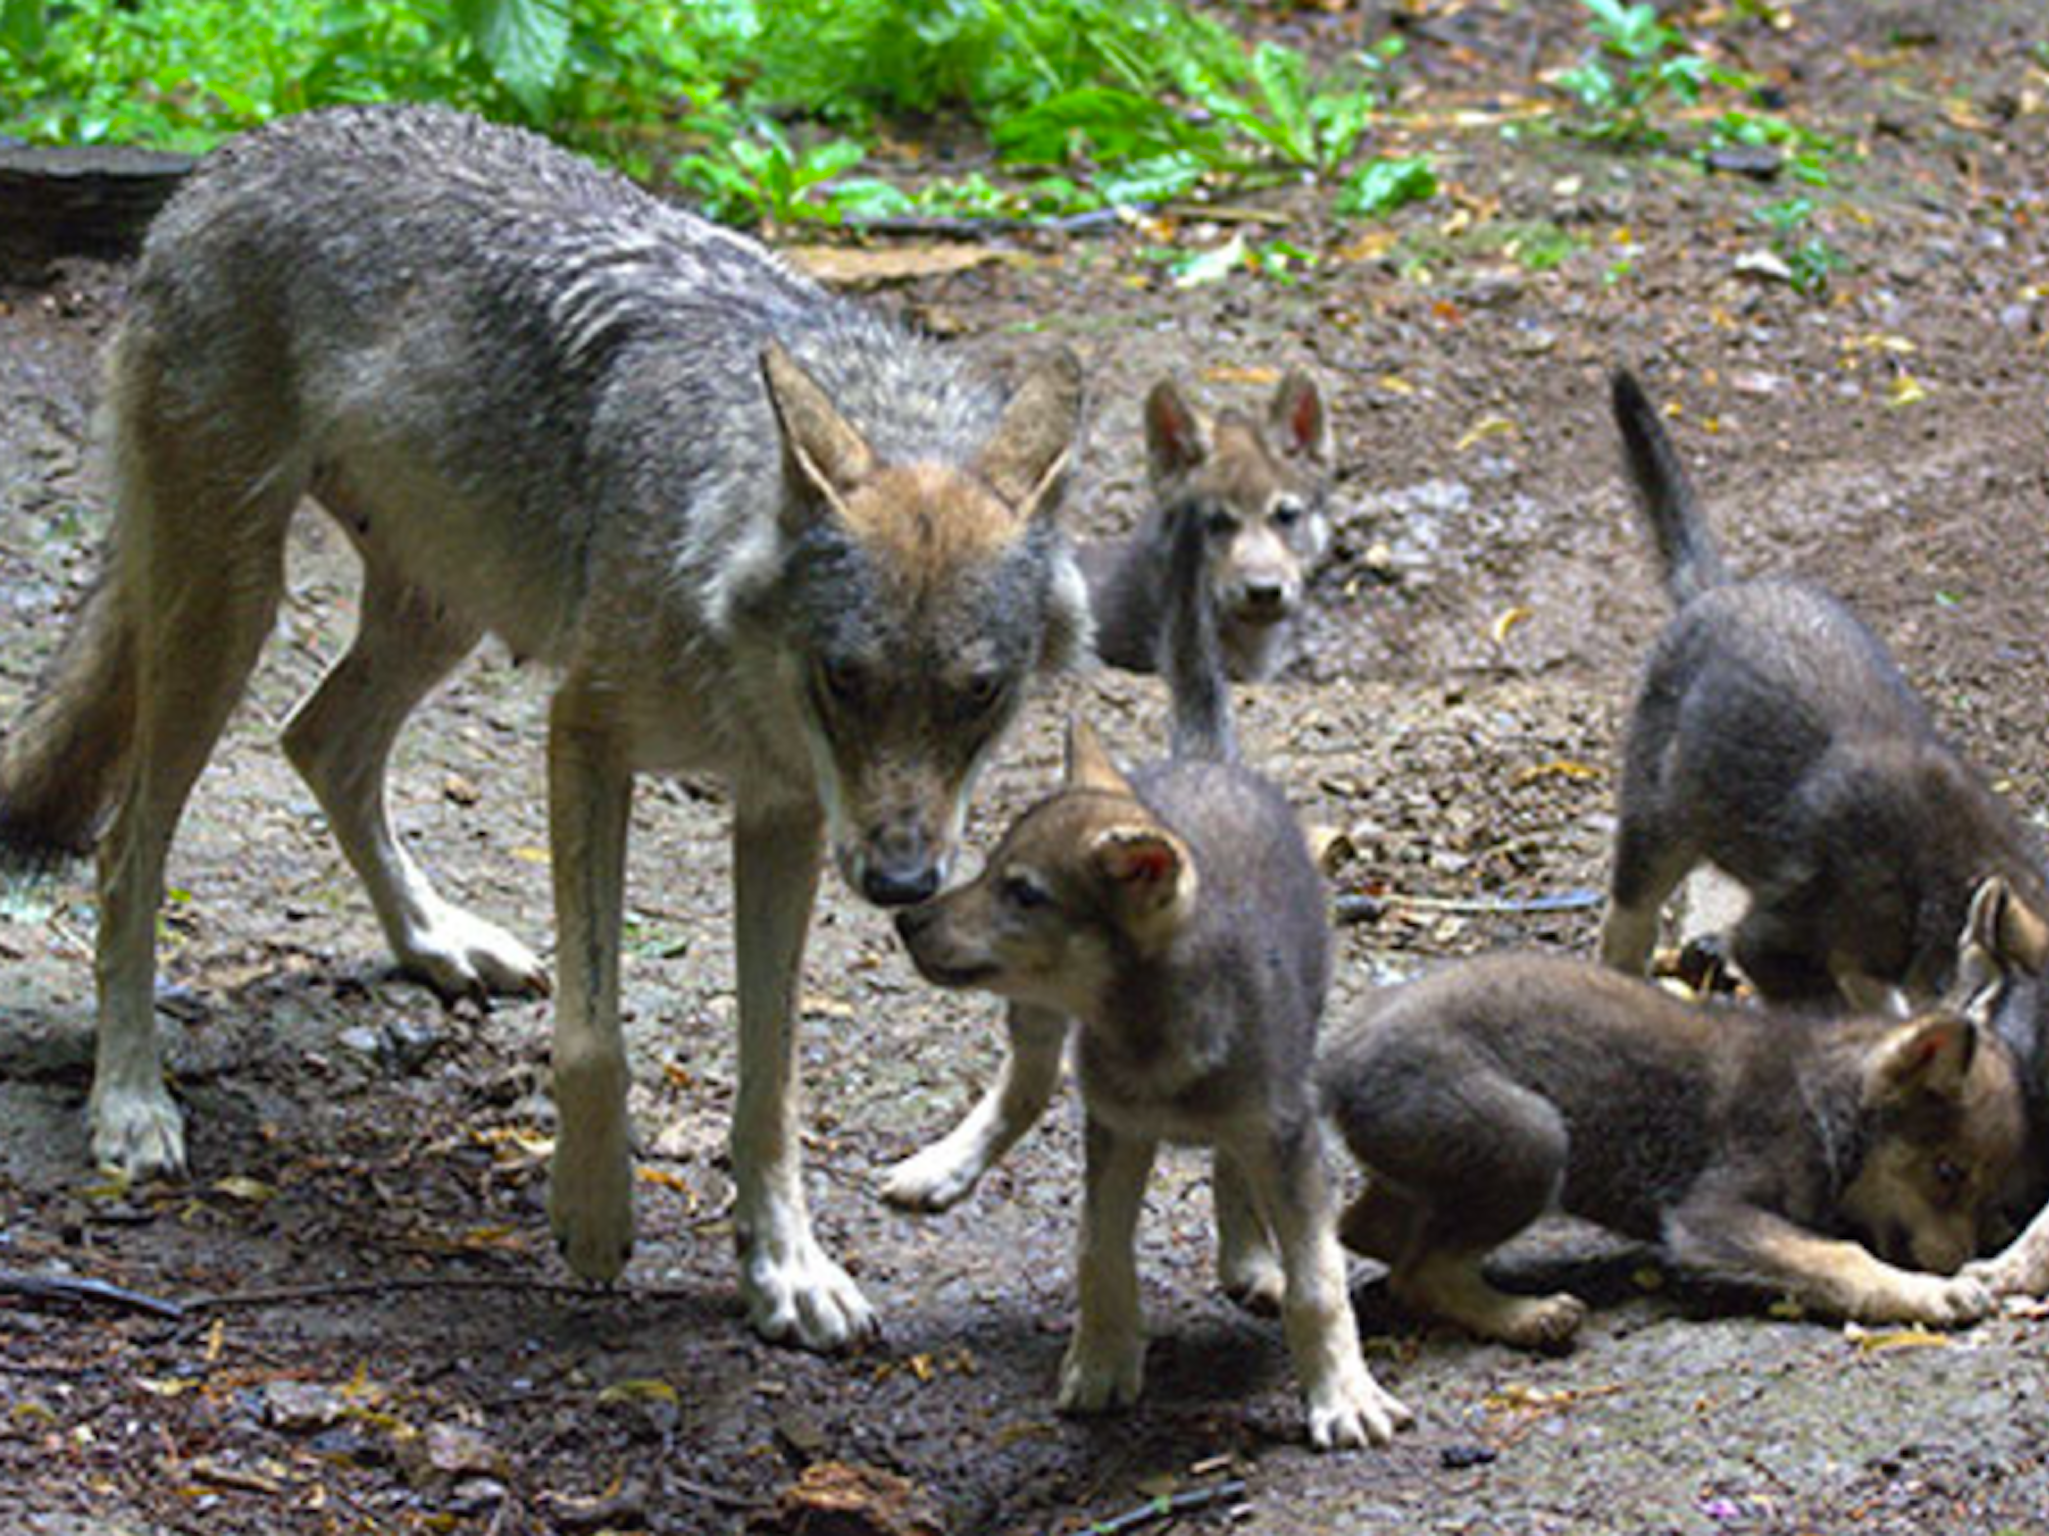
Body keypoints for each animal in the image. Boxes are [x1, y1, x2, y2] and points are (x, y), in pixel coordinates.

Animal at [0, 105, 1090, 1343]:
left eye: (979, 695)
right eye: (844, 679)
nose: (905, 883)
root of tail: (240, 149)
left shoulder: (785, 814)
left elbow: (772, 1072)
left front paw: (786, 1265)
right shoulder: (586, 737)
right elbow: (594, 1037)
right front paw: (595, 1214)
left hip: (442, 610)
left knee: (318, 741)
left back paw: (435, 940)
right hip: (227, 613)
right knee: (128, 849)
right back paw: (132, 1101)